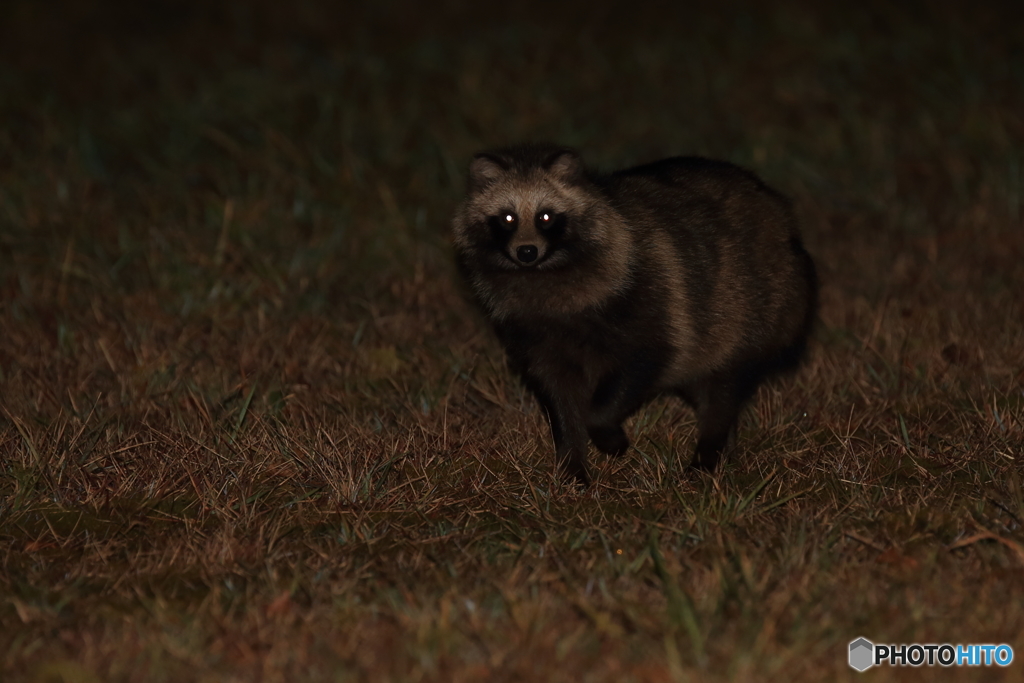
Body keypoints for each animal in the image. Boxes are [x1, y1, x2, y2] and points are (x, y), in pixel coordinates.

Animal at [452, 144, 819, 485]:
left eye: (545, 217)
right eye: (508, 218)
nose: (526, 251)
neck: (544, 273)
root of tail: (781, 213)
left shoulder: (649, 300)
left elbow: (634, 372)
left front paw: (607, 434)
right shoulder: (533, 333)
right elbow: (559, 398)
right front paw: (572, 467)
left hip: (754, 308)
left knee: (722, 389)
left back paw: (706, 455)